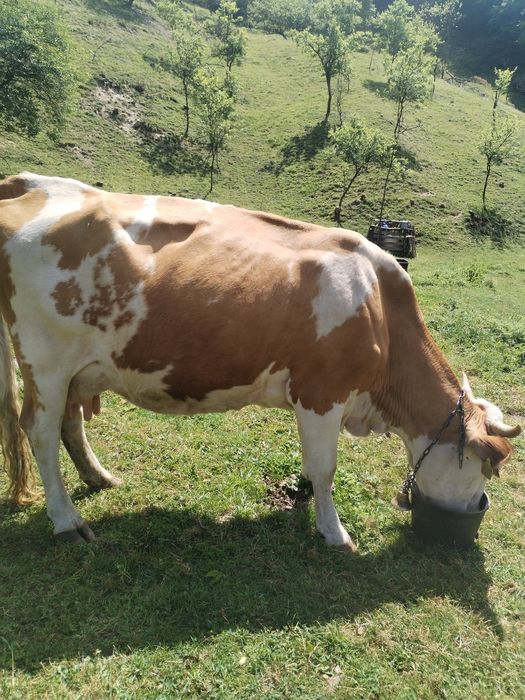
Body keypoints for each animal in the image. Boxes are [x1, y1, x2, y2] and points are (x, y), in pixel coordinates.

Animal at [0, 173, 520, 548]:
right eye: (482, 469)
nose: (475, 508)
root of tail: (31, 184)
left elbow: (312, 465)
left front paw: (306, 498)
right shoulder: (322, 392)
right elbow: (326, 467)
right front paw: (333, 531)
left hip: (76, 370)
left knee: (69, 424)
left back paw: (100, 477)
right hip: (45, 361)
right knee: (40, 431)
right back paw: (67, 520)